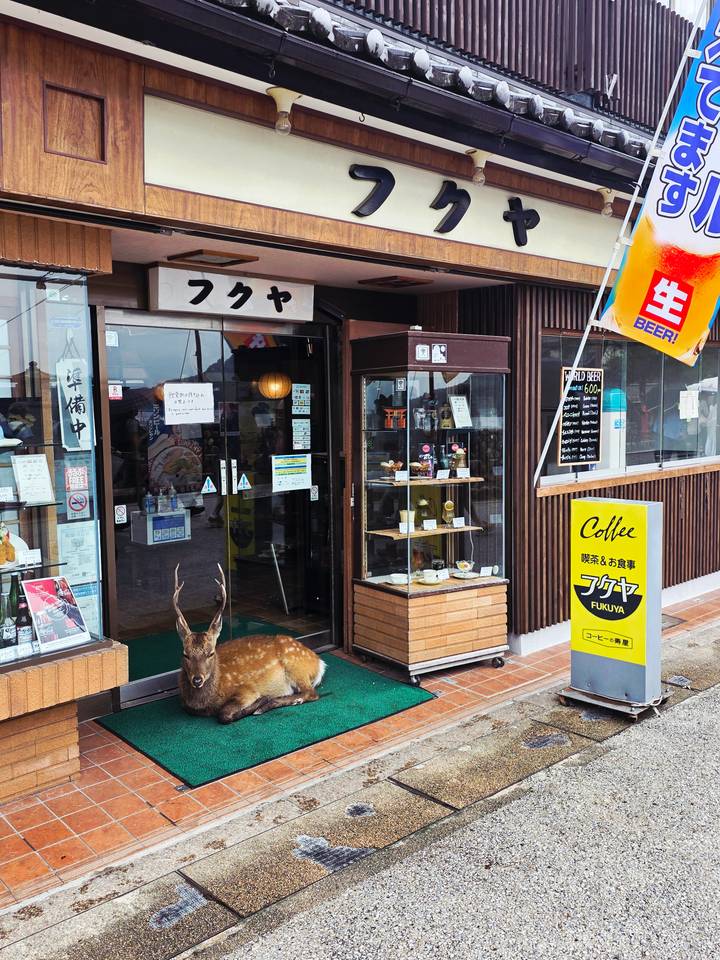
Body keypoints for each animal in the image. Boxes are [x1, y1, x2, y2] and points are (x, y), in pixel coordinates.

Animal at [172, 564, 326, 724]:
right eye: (185, 654)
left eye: (211, 653)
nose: (197, 680)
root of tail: (319, 662)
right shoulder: (185, 703)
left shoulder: (247, 690)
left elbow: (224, 714)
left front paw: (260, 701)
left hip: (296, 667)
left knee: (311, 693)